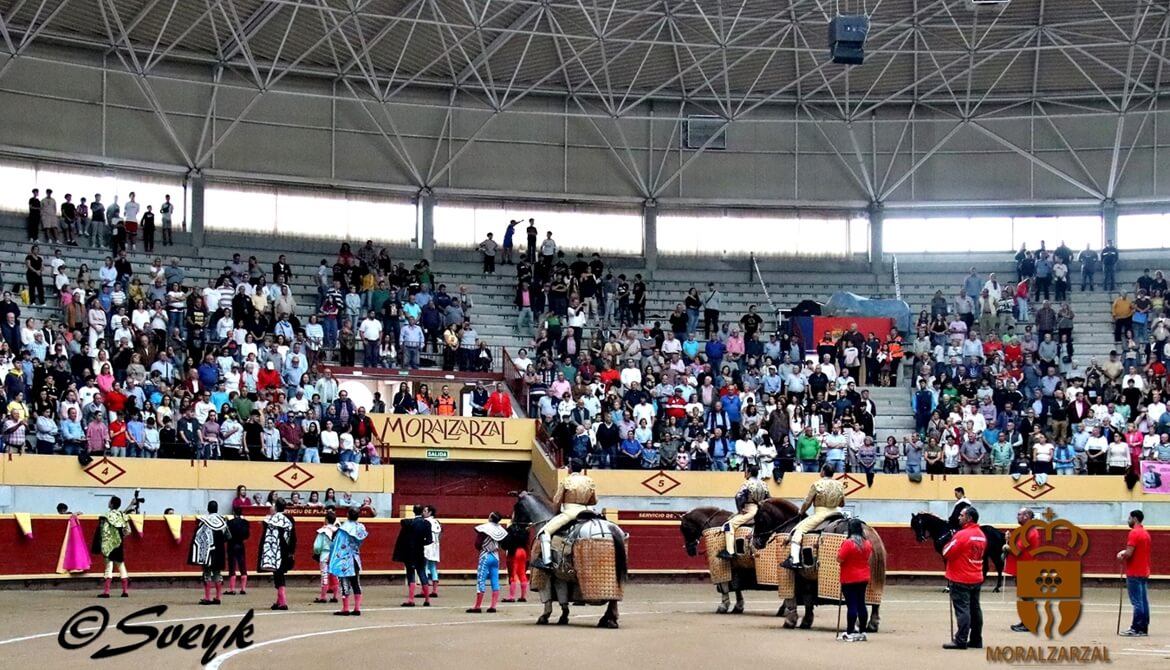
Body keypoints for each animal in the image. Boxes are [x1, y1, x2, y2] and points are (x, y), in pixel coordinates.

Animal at [510, 491, 627, 626]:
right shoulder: (560, 574)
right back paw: (609, 619)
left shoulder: (550, 574)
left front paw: (544, 617)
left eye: (516, 507)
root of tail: (609, 528)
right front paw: (563, 617)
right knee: (614, 594)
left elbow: (551, 596)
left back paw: (609, 620)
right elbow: (562, 594)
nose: (513, 529)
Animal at [748, 498, 884, 631]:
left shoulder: (789, 573)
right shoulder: (808, 575)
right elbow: (808, 597)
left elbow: (792, 597)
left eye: (758, 519)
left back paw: (856, 625)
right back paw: (872, 624)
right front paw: (806, 621)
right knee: (874, 599)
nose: (755, 542)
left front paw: (789, 621)